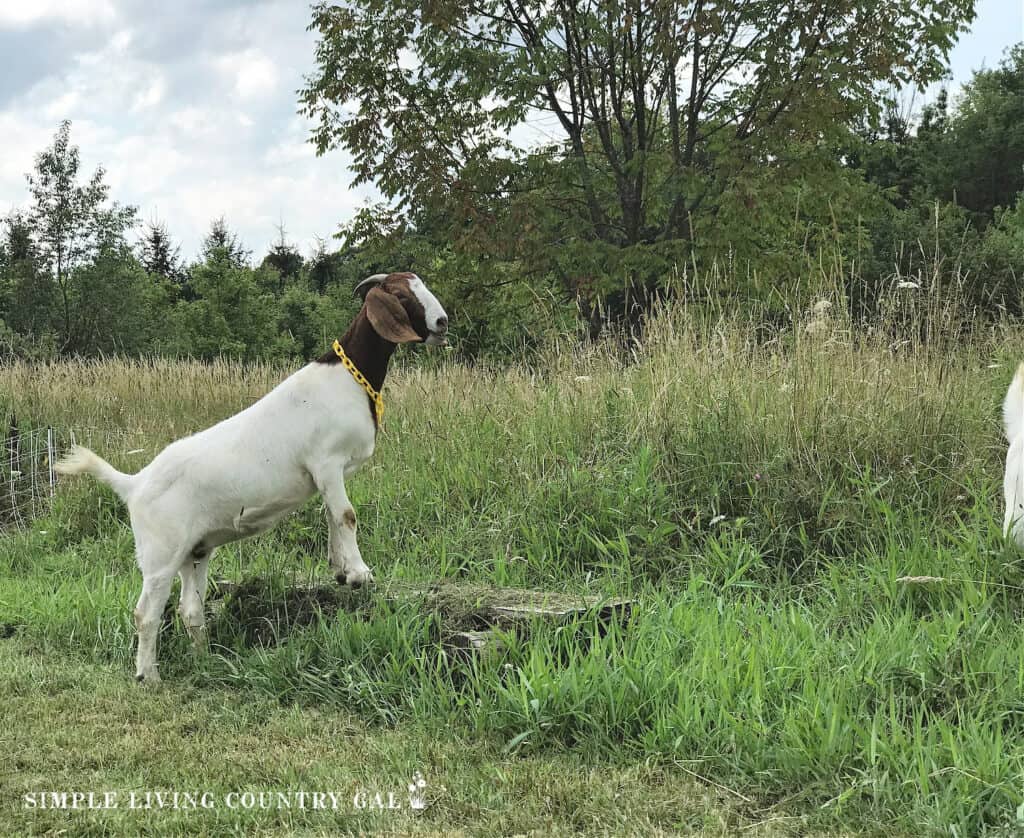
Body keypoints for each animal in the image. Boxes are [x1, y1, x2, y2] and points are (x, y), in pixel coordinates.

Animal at [56, 270, 448, 684]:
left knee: (189, 609)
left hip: (195, 551)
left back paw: (205, 661)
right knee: (146, 612)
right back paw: (149, 676)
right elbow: (346, 516)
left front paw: (340, 571)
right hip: (160, 552)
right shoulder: (325, 462)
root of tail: (133, 483)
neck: (347, 377)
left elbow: (331, 516)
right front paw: (360, 574)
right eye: (401, 295)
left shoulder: (327, 474)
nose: (442, 323)